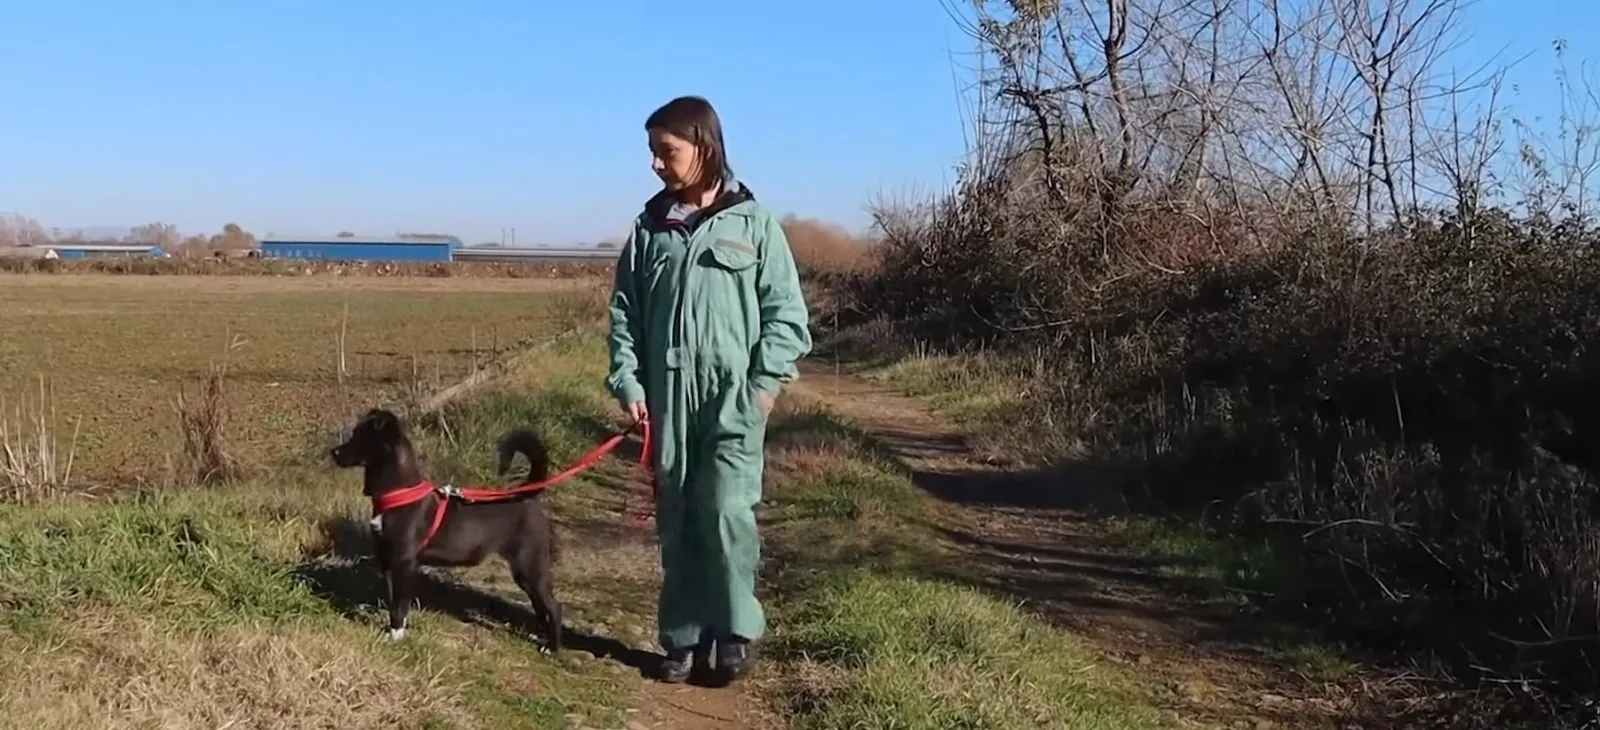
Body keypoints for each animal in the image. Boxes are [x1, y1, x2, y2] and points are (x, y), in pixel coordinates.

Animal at [324, 408, 563, 653]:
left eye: (359, 435)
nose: (333, 452)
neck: (398, 491)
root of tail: (525, 494)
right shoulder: (388, 560)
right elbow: (394, 602)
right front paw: (395, 632)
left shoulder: (404, 562)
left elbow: (399, 604)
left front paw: (397, 637)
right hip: (524, 572)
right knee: (539, 604)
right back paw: (539, 637)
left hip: (530, 565)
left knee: (553, 607)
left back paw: (552, 648)